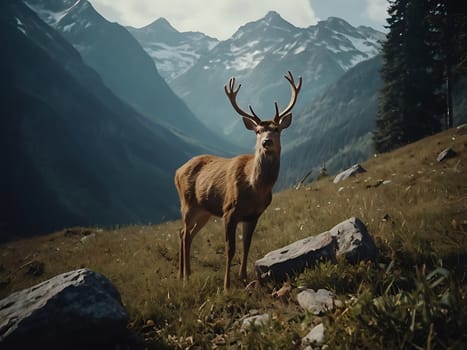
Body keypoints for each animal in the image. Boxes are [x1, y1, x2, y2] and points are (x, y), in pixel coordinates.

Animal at [176, 71, 304, 290]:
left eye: (277, 129)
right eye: (258, 131)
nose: (266, 142)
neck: (254, 188)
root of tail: (177, 171)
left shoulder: (253, 215)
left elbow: (246, 246)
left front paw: (244, 279)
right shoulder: (229, 211)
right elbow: (230, 249)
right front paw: (227, 286)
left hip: (204, 211)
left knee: (187, 234)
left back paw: (186, 274)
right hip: (188, 204)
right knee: (184, 234)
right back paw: (184, 277)